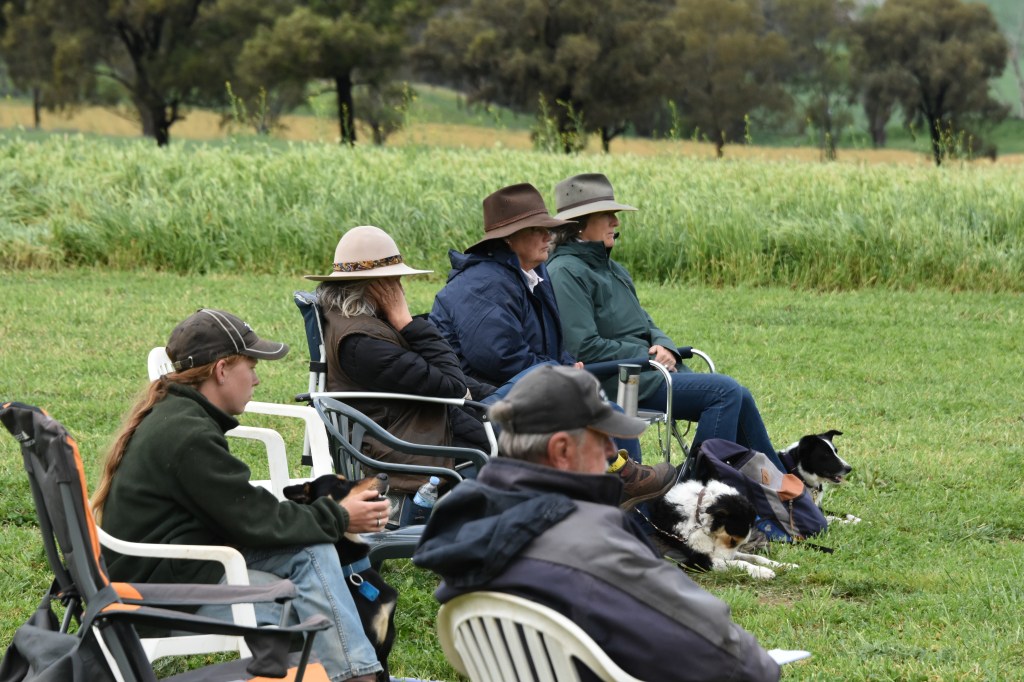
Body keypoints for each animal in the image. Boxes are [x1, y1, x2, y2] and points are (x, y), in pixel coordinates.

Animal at [648, 479, 797, 580]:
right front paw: (763, 572)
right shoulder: (701, 561)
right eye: (732, 540)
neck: (698, 519)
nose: (727, 559)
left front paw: (784, 565)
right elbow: (740, 562)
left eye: (738, 543)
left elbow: (755, 557)